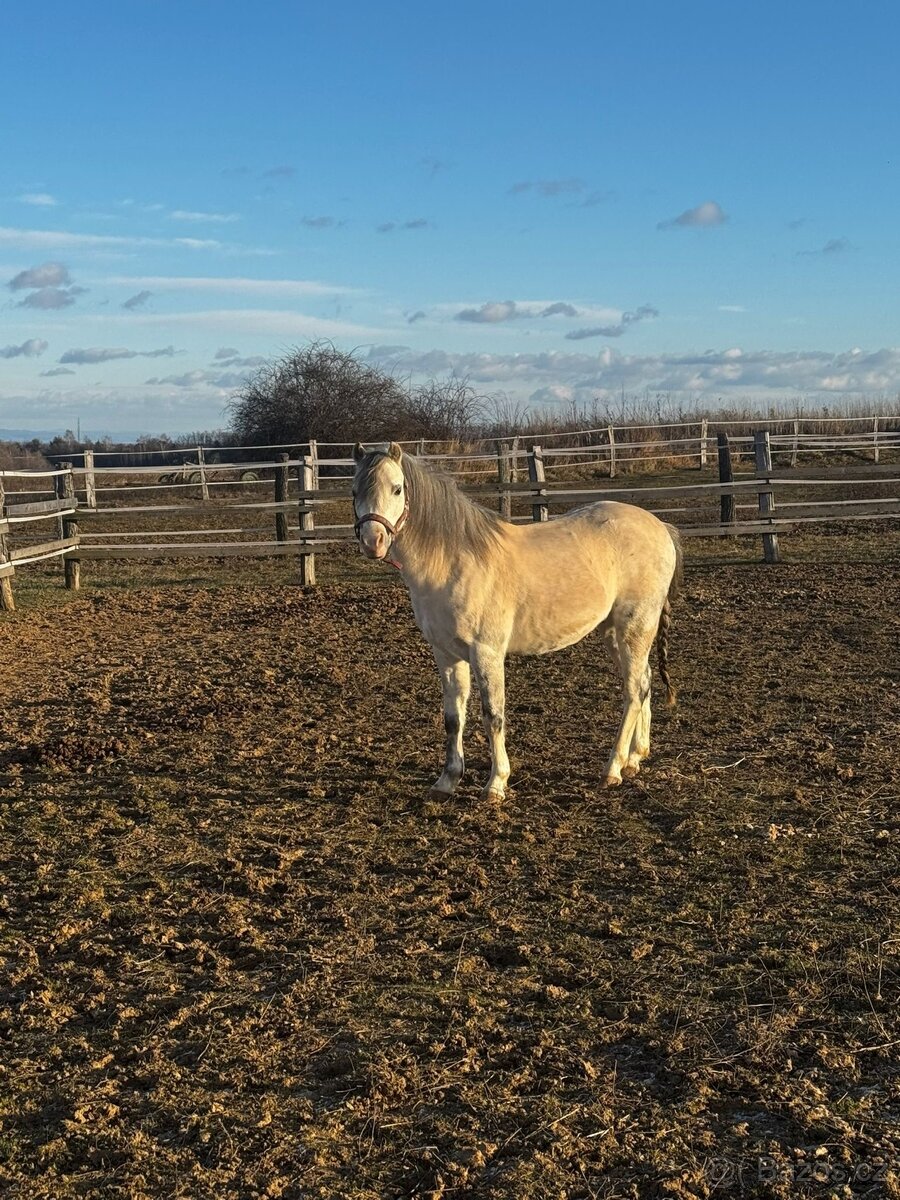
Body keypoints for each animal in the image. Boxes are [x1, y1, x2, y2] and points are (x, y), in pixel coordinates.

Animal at [352, 442, 682, 797]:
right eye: (354, 489)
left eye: (397, 488)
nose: (373, 542)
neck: (454, 563)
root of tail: (661, 527)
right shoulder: (447, 654)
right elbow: (453, 718)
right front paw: (447, 780)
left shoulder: (486, 652)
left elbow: (492, 715)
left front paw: (496, 784)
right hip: (614, 633)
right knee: (644, 681)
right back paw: (635, 758)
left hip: (635, 627)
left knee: (633, 692)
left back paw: (612, 769)